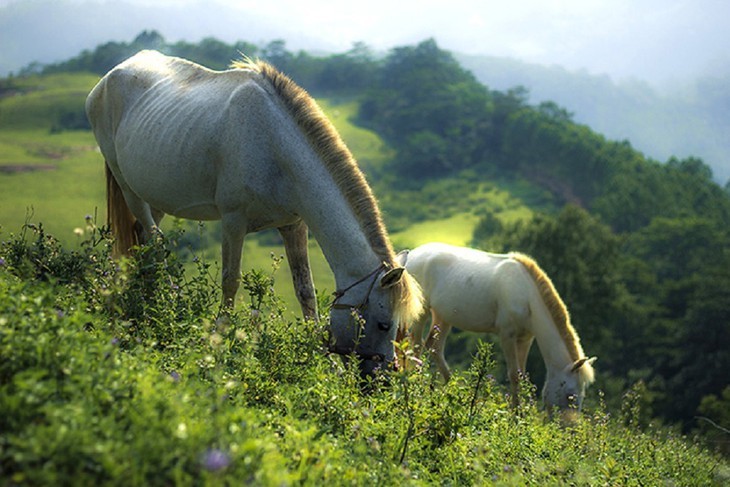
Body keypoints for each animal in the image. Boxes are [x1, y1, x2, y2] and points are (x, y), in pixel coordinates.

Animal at [86, 50, 420, 378]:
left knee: (144, 238)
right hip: (129, 188)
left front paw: (325, 364)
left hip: (156, 194)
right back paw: (168, 300)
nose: (383, 379)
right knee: (153, 242)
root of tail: (110, 77)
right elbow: (230, 281)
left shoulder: (294, 226)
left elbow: (306, 291)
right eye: (384, 324)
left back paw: (149, 297)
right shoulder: (233, 222)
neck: (275, 148)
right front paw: (219, 344)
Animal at [400, 244, 596, 412]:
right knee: (416, 346)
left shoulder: (525, 338)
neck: (527, 296)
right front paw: (516, 414)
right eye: (570, 396)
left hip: (443, 316)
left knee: (434, 347)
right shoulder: (507, 335)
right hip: (422, 311)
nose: (570, 428)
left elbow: (522, 375)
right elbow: (514, 375)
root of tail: (411, 256)